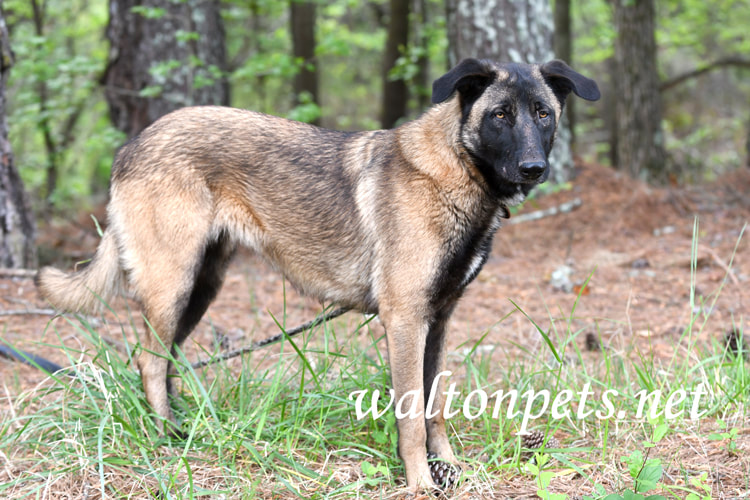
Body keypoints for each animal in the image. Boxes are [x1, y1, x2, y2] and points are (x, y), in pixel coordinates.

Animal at [35, 59, 604, 492]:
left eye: (543, 114)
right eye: (500, 115)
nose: (534, 169)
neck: (455, 171)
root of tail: (132, 146)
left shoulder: (437, 321)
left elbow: (434, 407)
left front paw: (448, 469)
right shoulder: (405, 322)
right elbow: (410, 418)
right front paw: (420, 483)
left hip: (201, 286)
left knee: (165, 359)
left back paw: (181, 426)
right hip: (173, 282)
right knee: (149, 361)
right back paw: (163, 440)